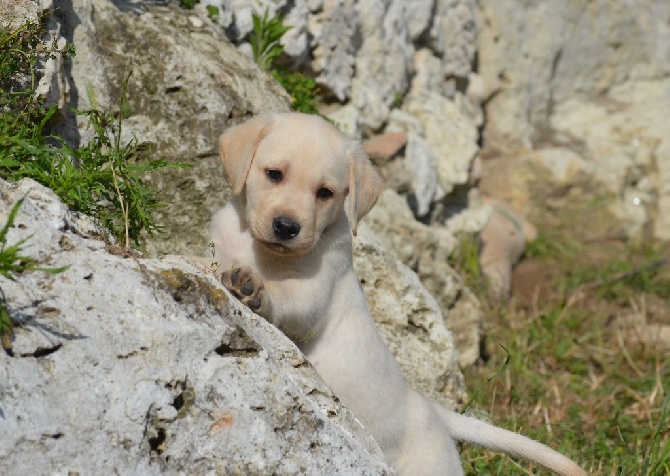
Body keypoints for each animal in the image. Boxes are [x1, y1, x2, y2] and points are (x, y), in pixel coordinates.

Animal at [209, 112, 588, 476]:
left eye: (325, 193)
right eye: (274, 174)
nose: (287, 227)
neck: (262, 252)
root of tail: (427, 406)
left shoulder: (314, 292)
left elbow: (287, 299)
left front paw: (254, 287)